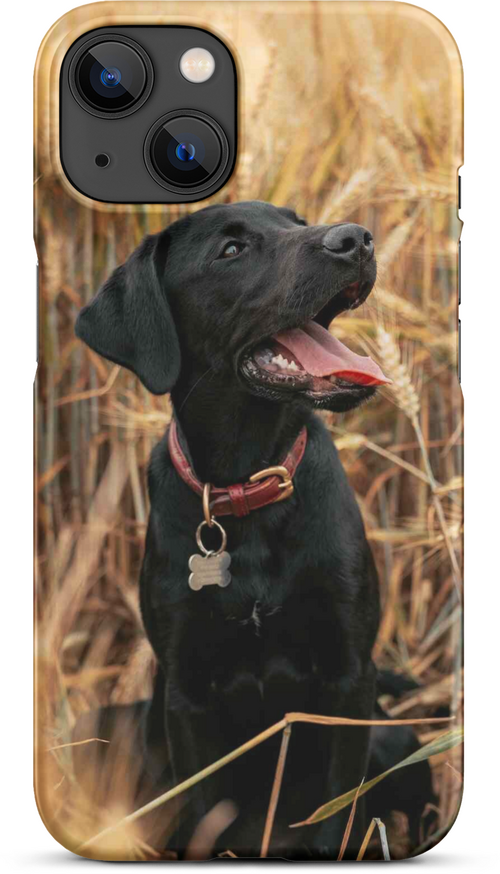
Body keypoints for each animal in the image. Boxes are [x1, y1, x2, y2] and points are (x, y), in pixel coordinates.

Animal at [77, 201, 390, 856]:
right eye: (230, 251)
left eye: (296, 221)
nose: (357, 239)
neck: (249, 487)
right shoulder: (186, 694)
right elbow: (205, 811)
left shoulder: (351, 675)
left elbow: (336, 810)